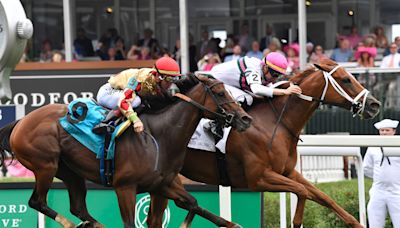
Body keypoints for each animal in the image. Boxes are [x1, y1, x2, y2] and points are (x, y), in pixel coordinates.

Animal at [0, 75, 250, 228]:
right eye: (220, 93)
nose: (246, 119)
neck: (159, 136)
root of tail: (21, 121)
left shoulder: (163, 183)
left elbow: (192, 203)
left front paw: (231, 223)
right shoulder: (125, 188)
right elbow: (130, 222)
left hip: (70, 172)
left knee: (78, 208)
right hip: (45, 165)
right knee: (37, 201)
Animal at [147, 59, 382, 228]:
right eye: (346, 80)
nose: (374, 104)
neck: (276, 122)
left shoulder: (287, 172)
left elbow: (323, 197)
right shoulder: (258, 178)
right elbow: (302, 192)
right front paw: (296, 223)